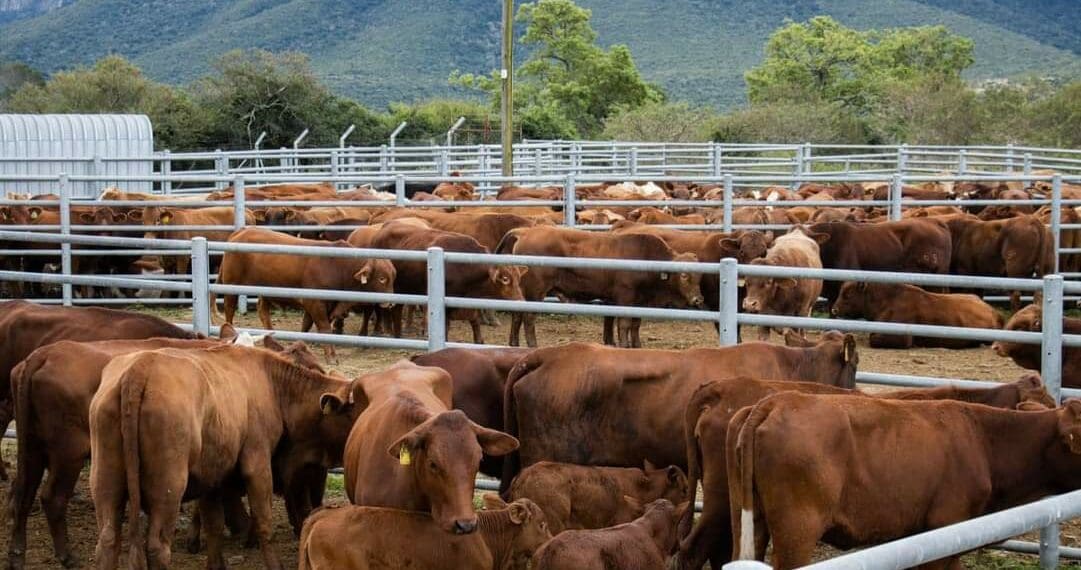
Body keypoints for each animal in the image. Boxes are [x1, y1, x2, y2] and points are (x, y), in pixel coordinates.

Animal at [6, 329, 324, 569]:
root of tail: (42, 355)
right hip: (73, 456)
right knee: (54, 498)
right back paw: (67, 556)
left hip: (47, 454)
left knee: (28, 495)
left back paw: (17, 554)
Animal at [88, 344, 363, 570]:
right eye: (354, 412)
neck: (274, 386)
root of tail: (140, 368)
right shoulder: (258, 463)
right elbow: (263, 522)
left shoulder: (212, 477)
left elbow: (214, 525)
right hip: (168, 488)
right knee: (157, 547)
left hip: (105, 482)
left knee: (107, 541)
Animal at [214, 227, 396, 338]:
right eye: (382, 278)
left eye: (393, 277)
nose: (391, 303)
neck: (339, 264)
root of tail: (241, 231)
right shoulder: (314, 302)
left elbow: (307, 324)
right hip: (231, 285)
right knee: (229, 309)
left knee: (262, 310)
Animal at [496, 226, 704, 348]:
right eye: (684, 275)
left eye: (700, 275)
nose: (698, 299)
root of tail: (525, 232)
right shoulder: (625, 298)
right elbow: (624, 324)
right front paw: (624, 345)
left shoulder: (636, 301)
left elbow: (632, 323)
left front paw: (634, 344)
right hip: (536, 291)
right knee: (528, 318)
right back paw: (533, 345)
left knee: (517, 316)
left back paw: (513, 344)